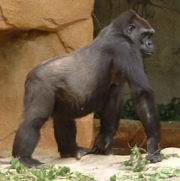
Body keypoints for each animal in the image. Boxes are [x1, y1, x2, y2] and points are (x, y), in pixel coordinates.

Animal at [11, 9, 162, 166]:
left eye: (150, 35)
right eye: (145, 34)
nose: (150, 43)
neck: (120, 31)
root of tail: (31, 73)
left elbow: (114, 96)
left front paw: (104, 140)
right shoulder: (125, 47)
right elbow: (142, 92)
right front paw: (153, 144)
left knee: (63, 116)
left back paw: (70, 150)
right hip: (39, 83)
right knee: (34, 120)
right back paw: (23, 157)